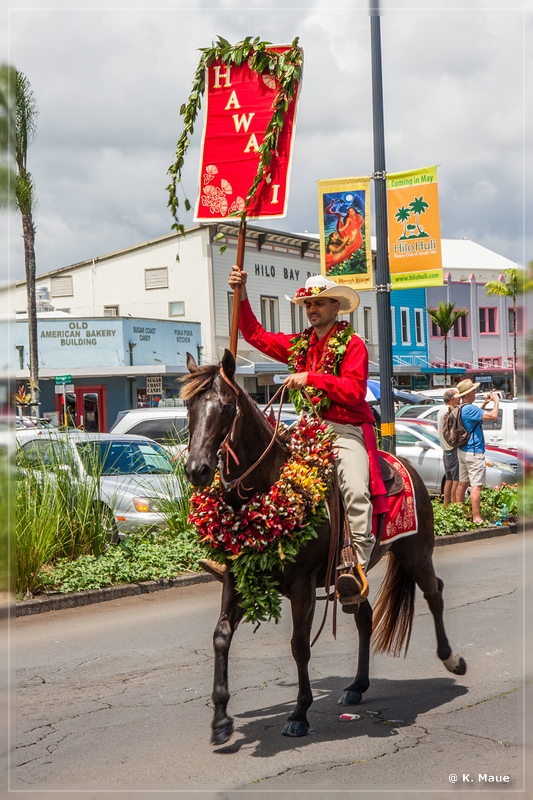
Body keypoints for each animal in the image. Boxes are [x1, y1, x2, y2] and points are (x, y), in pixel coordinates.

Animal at [181, 350, 464, 744]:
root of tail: (405, 465)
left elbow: (299, 645)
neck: (266, 489)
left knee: (433, 593)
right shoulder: (236, 578)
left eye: (225, 407)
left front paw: (300, 713)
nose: (197, 469)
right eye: (189, 405)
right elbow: (221, 636)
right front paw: (221, 719)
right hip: (354, 577)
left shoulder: (302, 586)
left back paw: (451, 659)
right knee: (364, 615)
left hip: (416, 553)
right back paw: (357, 686)